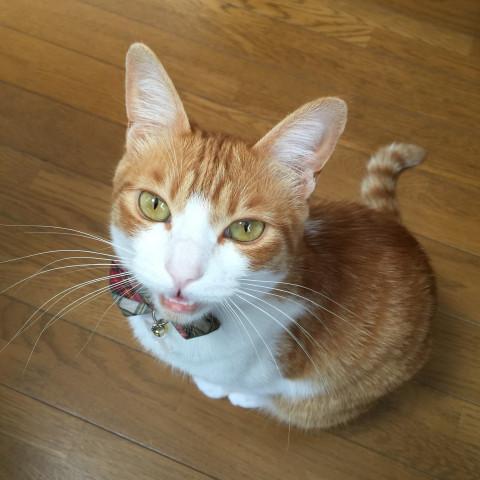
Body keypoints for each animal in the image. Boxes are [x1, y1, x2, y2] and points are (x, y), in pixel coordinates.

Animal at [110, 43, 435, 429]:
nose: (182, 273)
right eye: (154, 205)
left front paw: (229, 392)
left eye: (246, 229)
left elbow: (262, 389)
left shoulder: (290, 376)